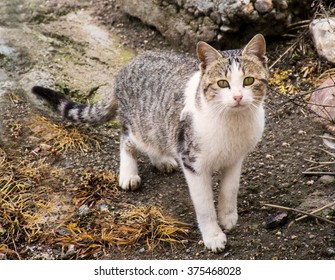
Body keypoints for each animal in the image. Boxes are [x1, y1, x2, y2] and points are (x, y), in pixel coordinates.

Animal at [30, 34, 270, 253]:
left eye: (248, 81)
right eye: (222, 83)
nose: (238, 97)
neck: (233, 122)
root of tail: (127, 66)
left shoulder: (236, 158)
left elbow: (230, 189)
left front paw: (228, 217)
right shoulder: (192, 162)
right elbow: (204, 205)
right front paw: (213, 235)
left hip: (156, 126)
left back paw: (162, 160)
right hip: (139, 125)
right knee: (126, 138)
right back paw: (128, 173)